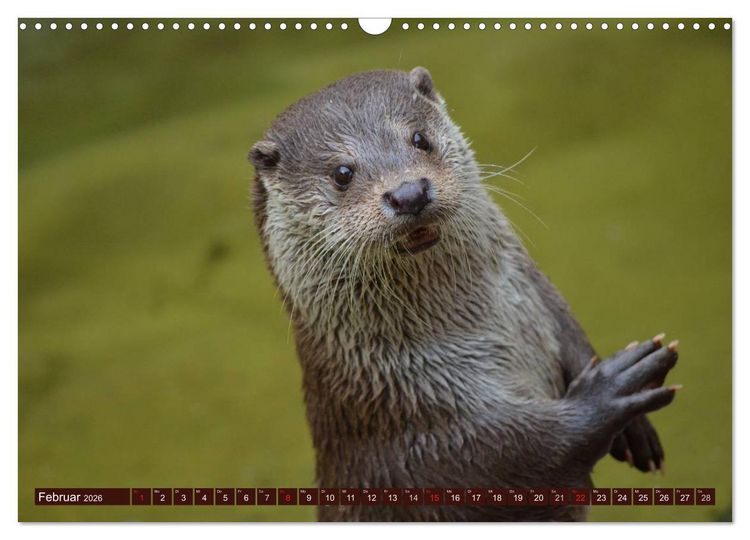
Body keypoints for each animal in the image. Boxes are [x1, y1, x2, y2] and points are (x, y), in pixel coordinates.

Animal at [249, 67, 679, 521]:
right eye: (342, 173)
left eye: (420, 138)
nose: (408, 193)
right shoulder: (419, 428)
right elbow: (515, 457)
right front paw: (611, 391)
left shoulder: (539, 295)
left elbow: (572, 333)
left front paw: (635, 428)